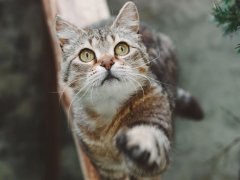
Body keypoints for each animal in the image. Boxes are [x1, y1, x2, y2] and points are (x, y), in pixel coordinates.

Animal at [55, 1, 203, 180]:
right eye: (86, 55)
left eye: (122, 48)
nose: (107, 62)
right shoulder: (108, 168)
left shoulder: (157, 116)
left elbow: (153, 144)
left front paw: (138, 141)